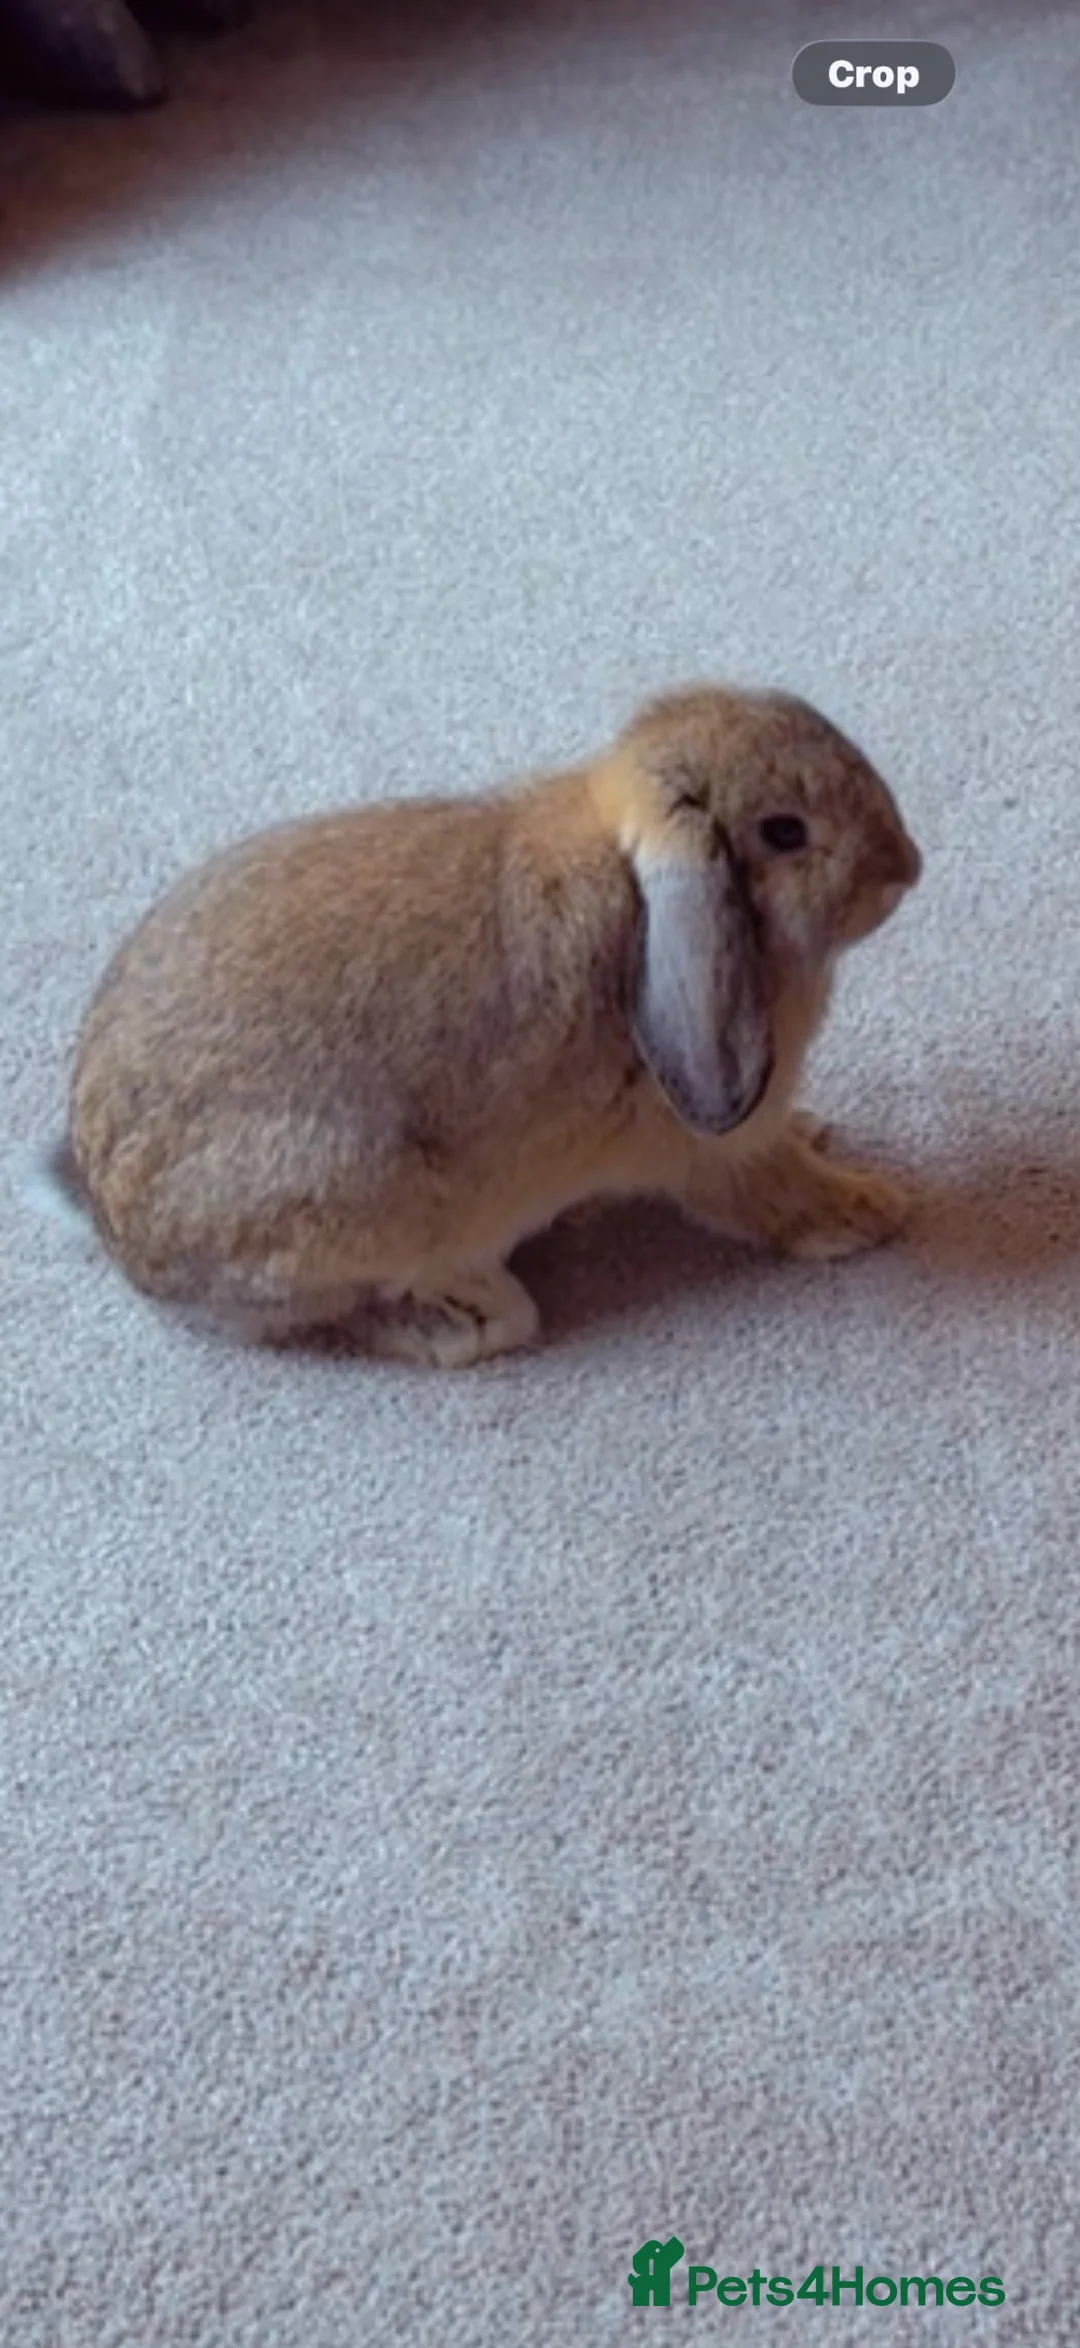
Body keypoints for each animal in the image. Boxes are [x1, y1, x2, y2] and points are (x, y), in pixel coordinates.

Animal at [38, 682, 921, 1368]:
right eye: (785, 831)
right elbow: (773, 1192)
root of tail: (123, 1239)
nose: (905, 868)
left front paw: (818, 1131)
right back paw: (470, 1318)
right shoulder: (717, 1149)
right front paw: (872, 1210)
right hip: (358, 1206)